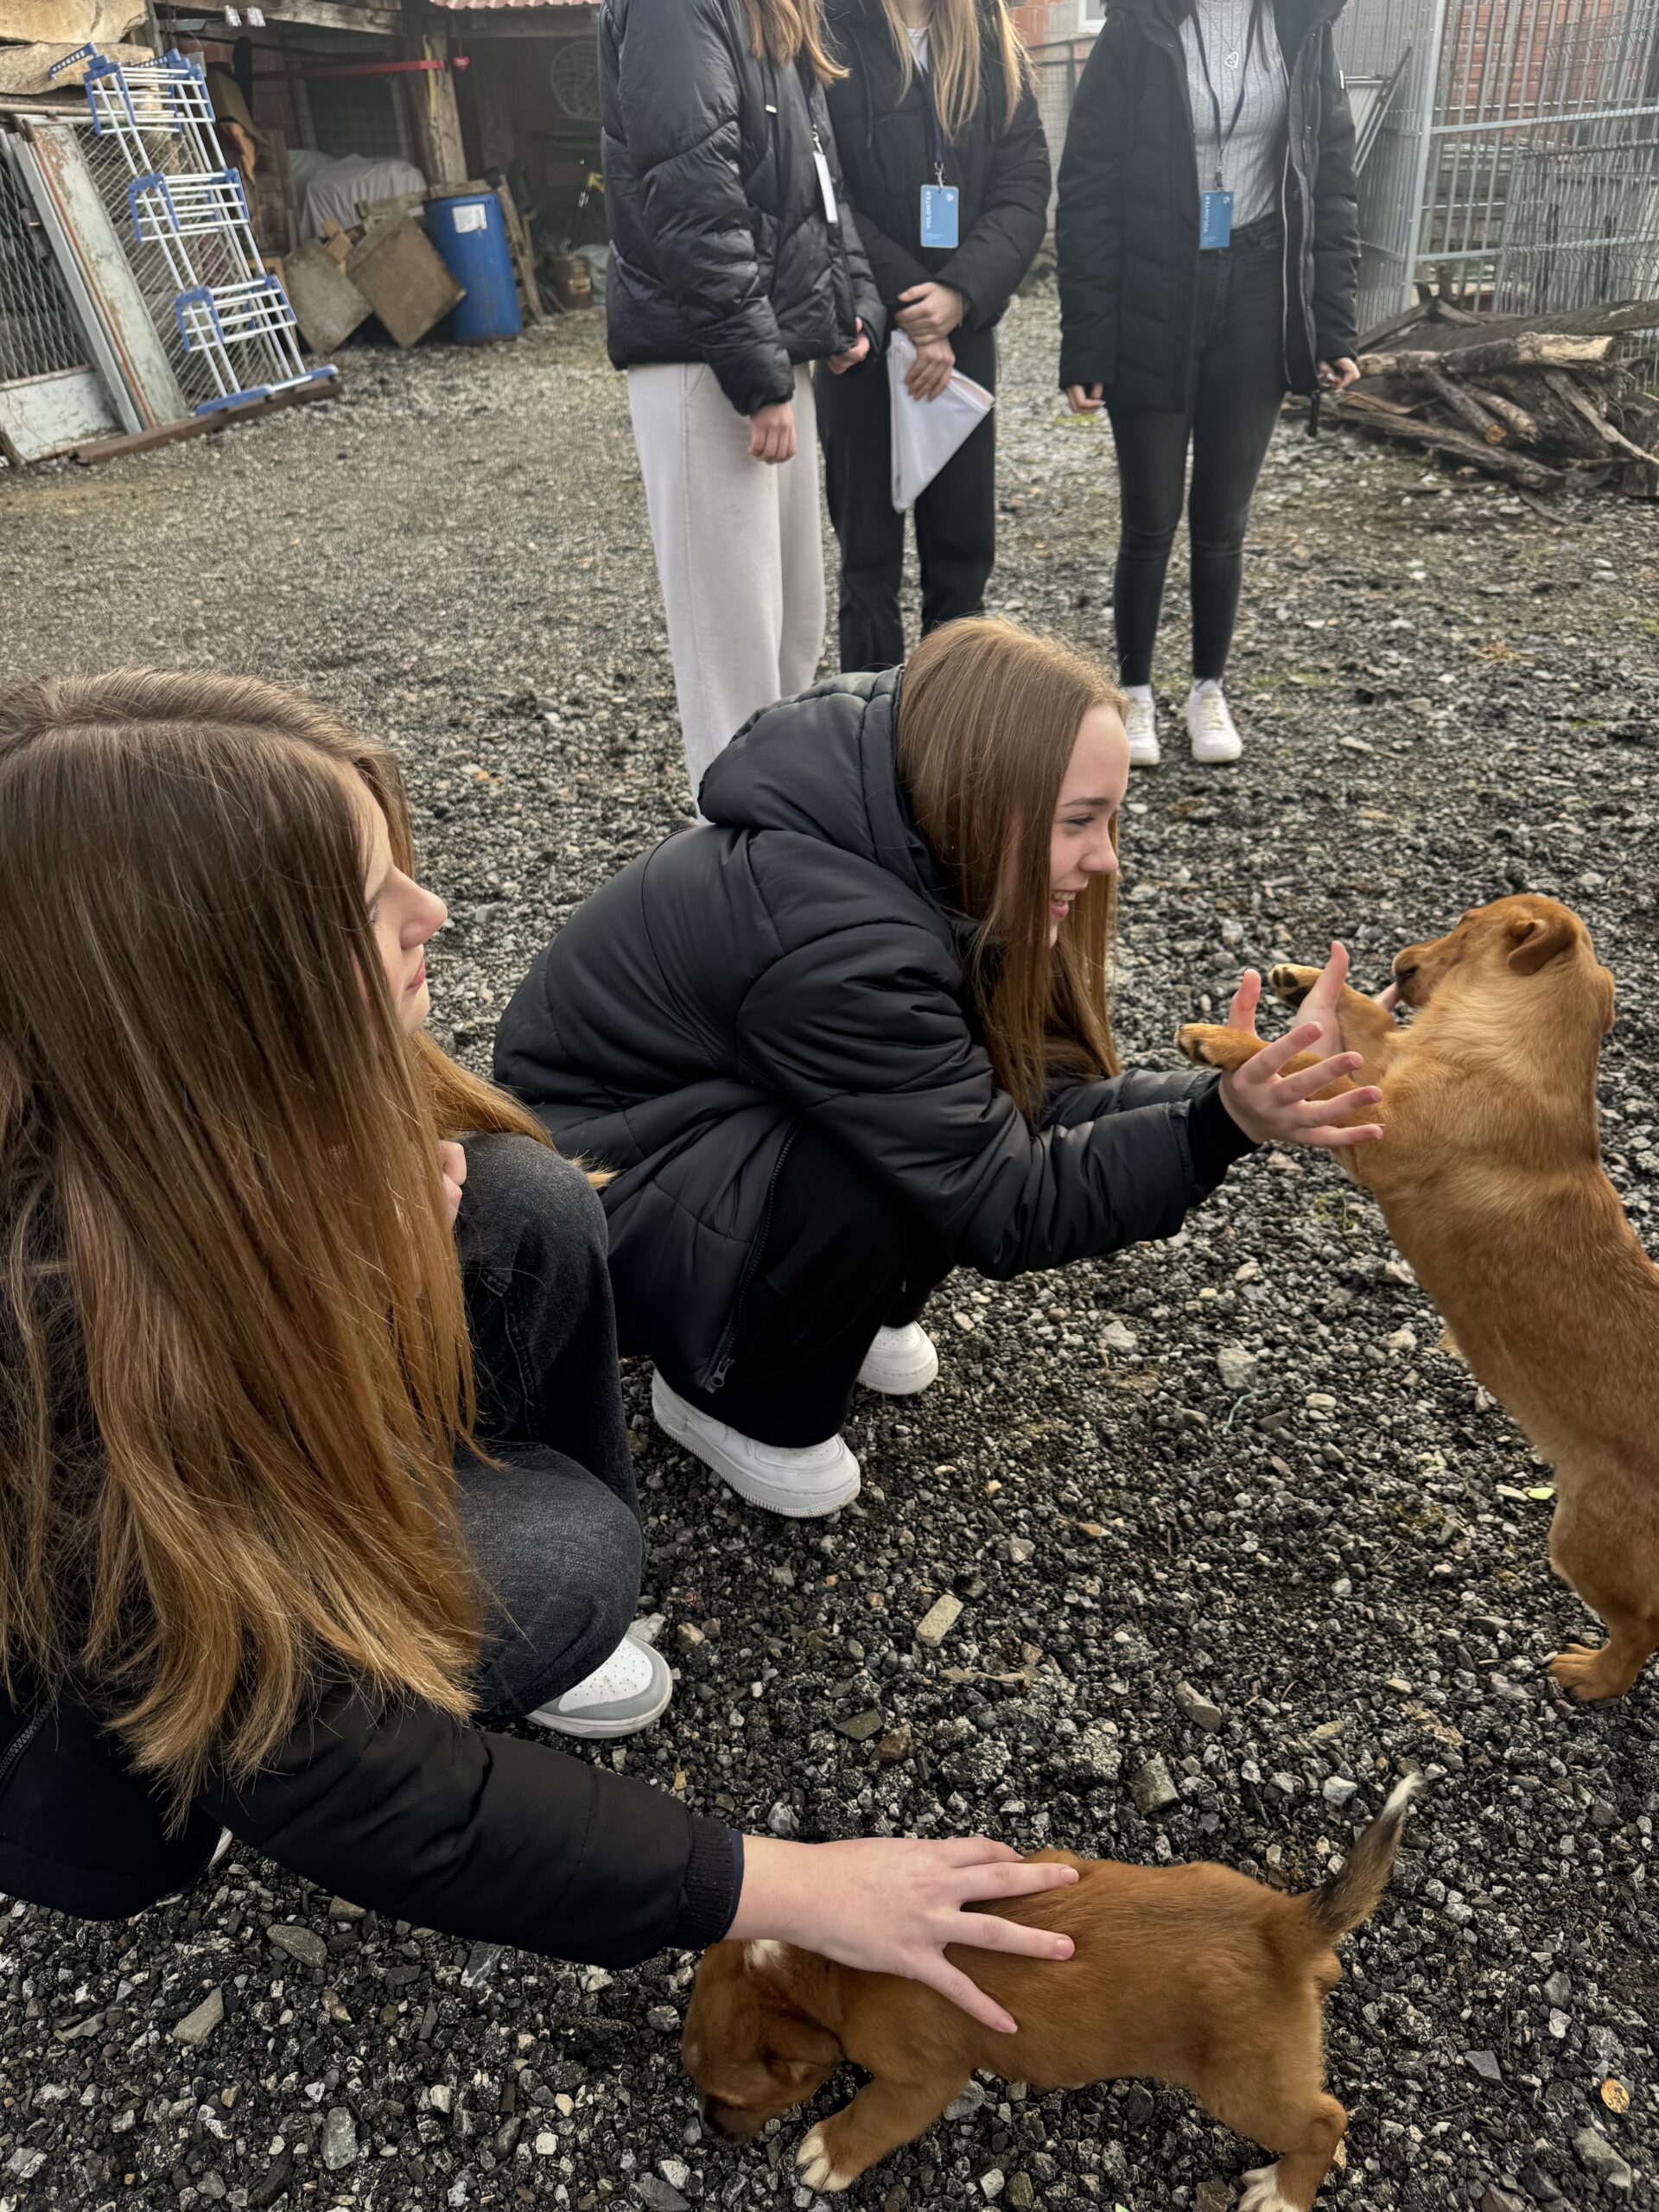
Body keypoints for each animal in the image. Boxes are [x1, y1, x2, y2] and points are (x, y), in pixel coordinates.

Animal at [682, 1780, 1418, 2212]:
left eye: (735, 2098)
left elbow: (872, 2115)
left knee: (1325, 2121)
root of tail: (1280, 1925)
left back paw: (1284, 2193)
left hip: (1243, 2087)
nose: (710, 2134)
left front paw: (828, 2152)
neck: (817, 1968)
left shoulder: (922, 2079)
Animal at [1175, 893, 1659, 1701]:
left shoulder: (1372, 1120)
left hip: (1587, 1542)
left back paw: (1592, 1676)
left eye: (1463, 921)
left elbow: (1302, 1065)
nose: (1402, 959)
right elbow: (1367, 1027)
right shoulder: (1385, 1072)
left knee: (1642, 1628)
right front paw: (1309, 981)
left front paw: (1225, 1039)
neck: (1503, 1051)